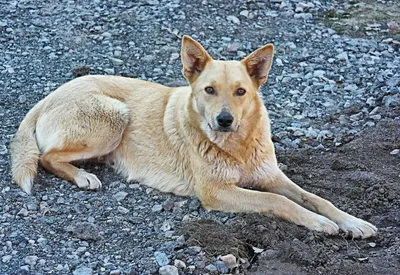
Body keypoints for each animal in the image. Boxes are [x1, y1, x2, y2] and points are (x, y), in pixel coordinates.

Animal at [10, 36, 378, 239]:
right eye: (209, 90)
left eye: (241, 91)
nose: (224, 120)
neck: (236, 146)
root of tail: (50, 95)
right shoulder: (216, 192)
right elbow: (279, 202)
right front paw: (320, 224)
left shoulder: (271, 176)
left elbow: (315, 198)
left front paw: (353, 222)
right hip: (115, 116)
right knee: (47, 157)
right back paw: (83, 176)